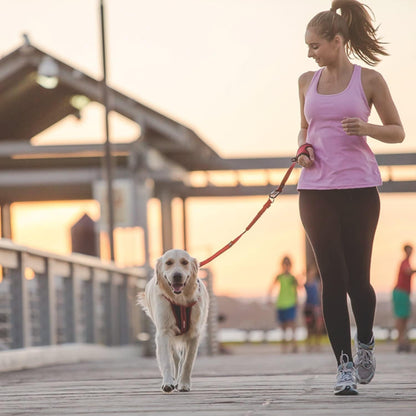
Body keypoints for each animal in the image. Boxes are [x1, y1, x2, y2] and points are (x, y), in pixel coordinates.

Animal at [139, 250, 210, 394]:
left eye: (184, 262)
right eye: (169, 263)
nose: (177, 276)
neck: (180, 300)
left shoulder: (194, 334)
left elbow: (188, 362)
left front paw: (184, 384)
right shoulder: (163, 333)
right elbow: (166, 361)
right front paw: (168, 383)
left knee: (182, 359)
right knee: (176, 358)